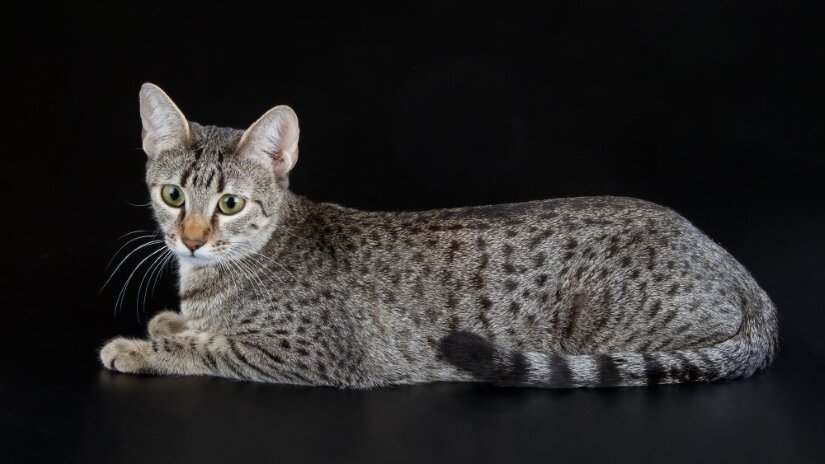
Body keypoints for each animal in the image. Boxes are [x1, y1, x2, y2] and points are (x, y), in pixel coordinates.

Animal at [100, 83, 776, 388]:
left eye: (231, 204)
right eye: (173, 196)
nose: (189, 239)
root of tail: (746, 280)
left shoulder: (313, 352)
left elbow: (210, 349)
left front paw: (142, 347)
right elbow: (195, 327)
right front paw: (168, 322)